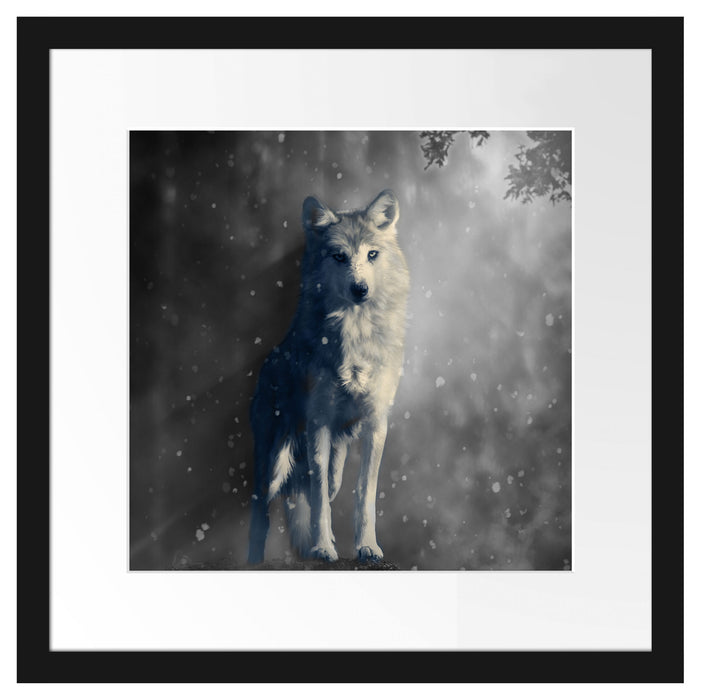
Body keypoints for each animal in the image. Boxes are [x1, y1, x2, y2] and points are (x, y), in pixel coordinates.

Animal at [247, 189, 410, 564]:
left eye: (372, 255)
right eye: (339, 256)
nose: (360, 289)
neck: (356, 334)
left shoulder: (376, 423)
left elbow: (364, 494)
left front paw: (367, 547)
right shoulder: (318, 422)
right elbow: (319, 498)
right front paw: (323, 548)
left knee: (321, 488)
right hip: (272, 465)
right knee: (262, 512)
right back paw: (256, 560)